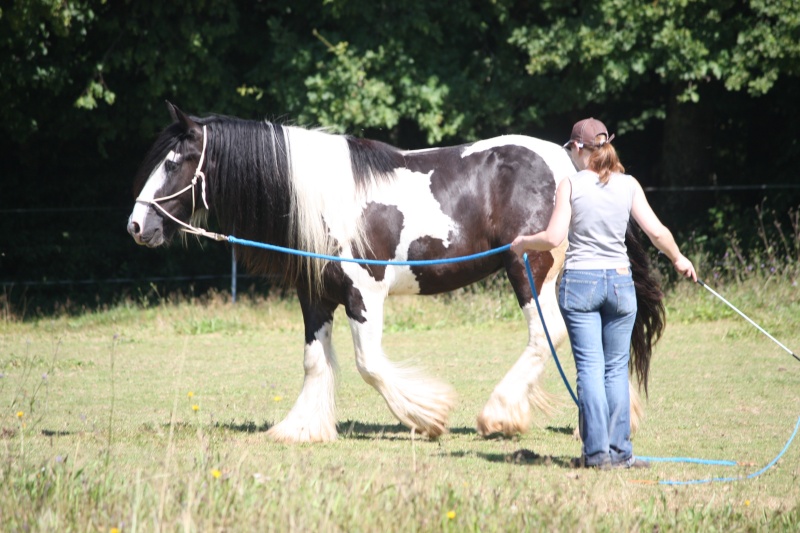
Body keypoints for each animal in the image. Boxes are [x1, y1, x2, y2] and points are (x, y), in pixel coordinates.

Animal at [126, 102, 664, 442]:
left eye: (175, 161)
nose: (137, 225)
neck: (323, 199)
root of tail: (573, 169)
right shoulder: (315, 297)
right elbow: (315, 362)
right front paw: (302, 429)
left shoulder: (364, 293)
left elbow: (370, 364)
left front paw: (428, 417)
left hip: (529, 269)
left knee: (545, 333)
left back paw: (499, 416)